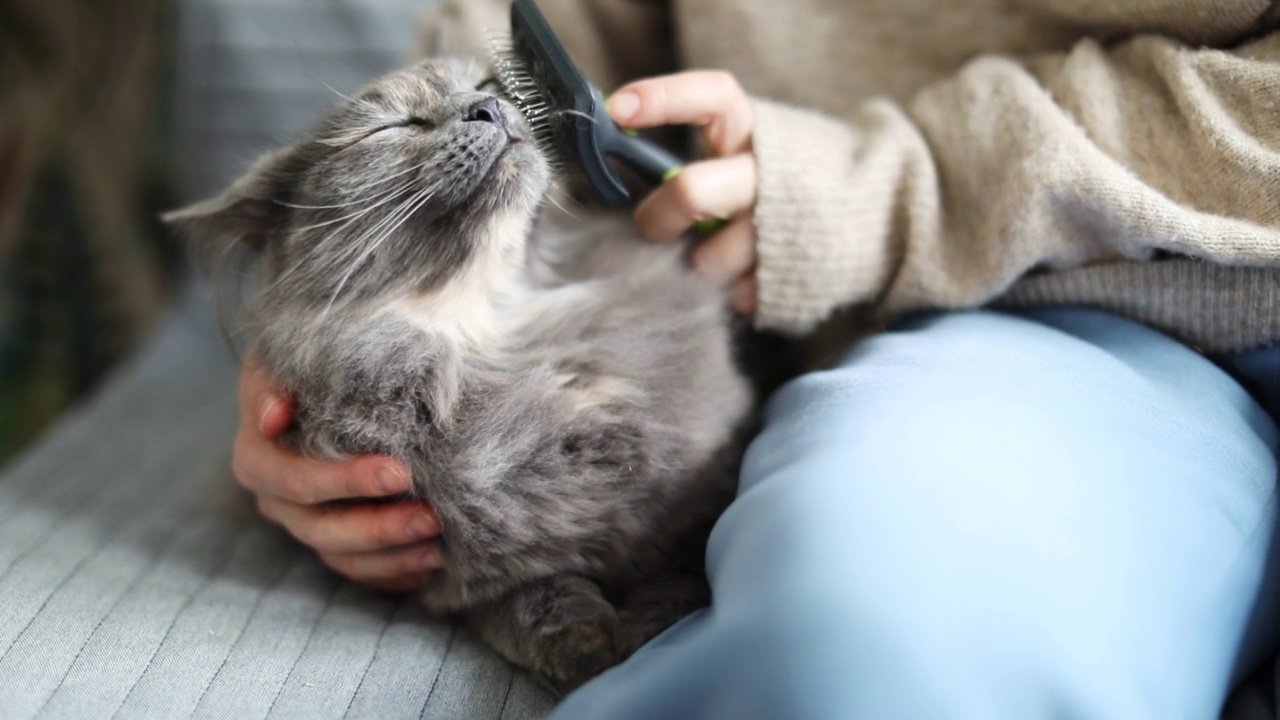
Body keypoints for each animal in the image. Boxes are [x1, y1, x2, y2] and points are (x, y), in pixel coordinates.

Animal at [165, 58, 752, 691]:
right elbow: (538, 602)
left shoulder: (698, 494)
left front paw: (656, 630)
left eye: (487, 87)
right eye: (397, 126)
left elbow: (681, 569)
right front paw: (589, 651)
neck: (493, 331)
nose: (488, 108)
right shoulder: (470, 576)